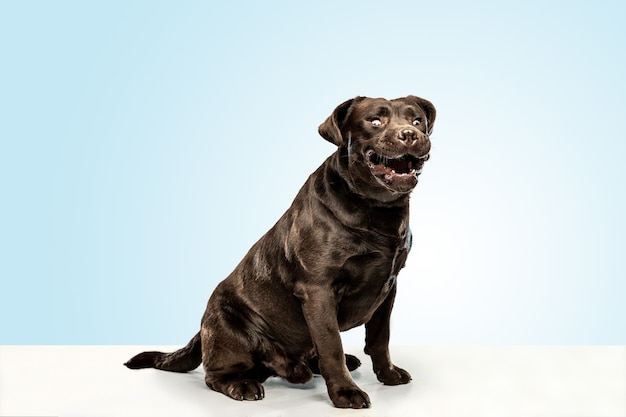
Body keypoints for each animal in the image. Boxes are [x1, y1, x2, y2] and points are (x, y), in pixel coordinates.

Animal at [123, 93, 434, 406]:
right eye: (375, 121)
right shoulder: (319, 290)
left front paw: (388, 374)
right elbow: (331, 344)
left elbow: (380, 338)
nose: (410, 134)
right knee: (216, 374)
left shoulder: (388, 286)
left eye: (417, 120)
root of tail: (201, 329)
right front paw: (345, 391)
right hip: (230, 328)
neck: (377, 208)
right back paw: (243, 384)